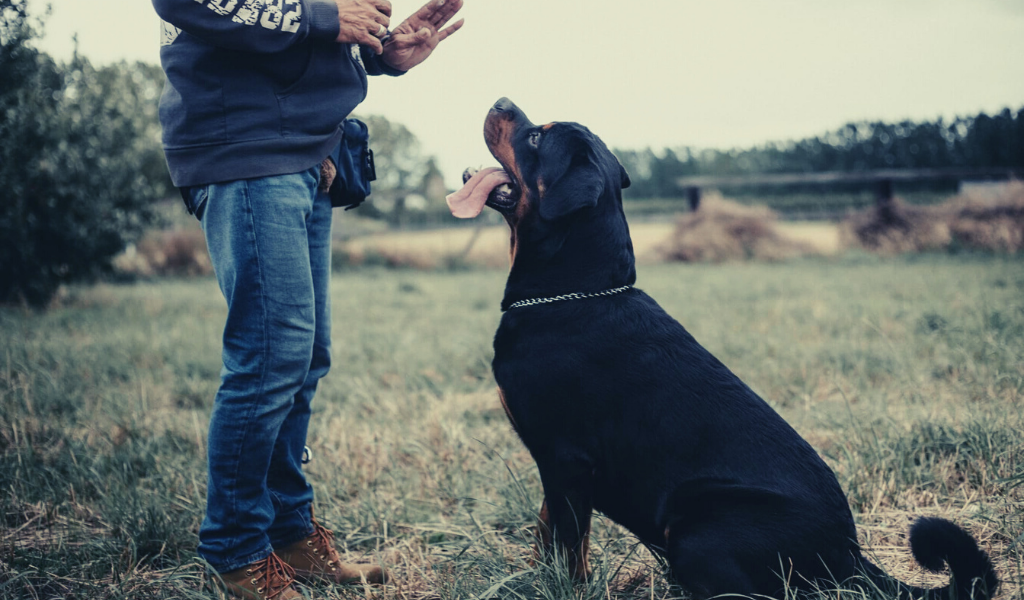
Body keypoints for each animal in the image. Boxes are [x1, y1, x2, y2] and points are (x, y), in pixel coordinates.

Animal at [444, 99, 995, 597]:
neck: (575, 290)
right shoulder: (554, 467)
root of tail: (851, 558)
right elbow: (545, 537)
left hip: (697, 526)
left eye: (537, 137)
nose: (500, 100)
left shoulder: (566, 461)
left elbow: (567, 547)